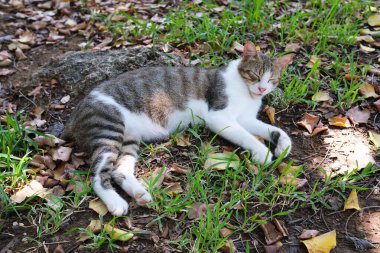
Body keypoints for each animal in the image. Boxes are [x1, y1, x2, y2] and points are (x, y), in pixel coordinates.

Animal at [63, 41, 292, 215]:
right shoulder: (219, 117)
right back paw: (115, 203)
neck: (246, 93)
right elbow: (247, 136)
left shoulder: (245, 117)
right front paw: (263, 152)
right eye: (255, 75)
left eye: (272, 79)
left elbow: (271, 129)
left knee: (119, 171)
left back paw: (140, 194)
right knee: (97, 175)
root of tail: (75, 113)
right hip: (108, 128)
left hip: (129, 138)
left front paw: (283, 144)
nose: (262, 88)